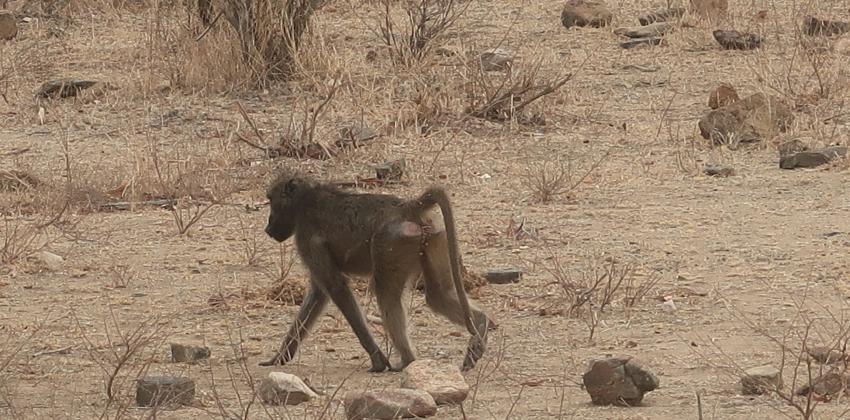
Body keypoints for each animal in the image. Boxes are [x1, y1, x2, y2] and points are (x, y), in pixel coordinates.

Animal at [259, 171, 490, 372]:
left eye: (271, 200)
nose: (268, 228)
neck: (306, 201)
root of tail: (407, 207)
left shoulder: (307, 239)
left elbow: (335, 287)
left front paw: (378, 360)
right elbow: (319, 293)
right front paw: (279, 358)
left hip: (389, 242)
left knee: (386, 295)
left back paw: (407, 360)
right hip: (434, 236)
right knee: (438, 295)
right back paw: (481, 325)